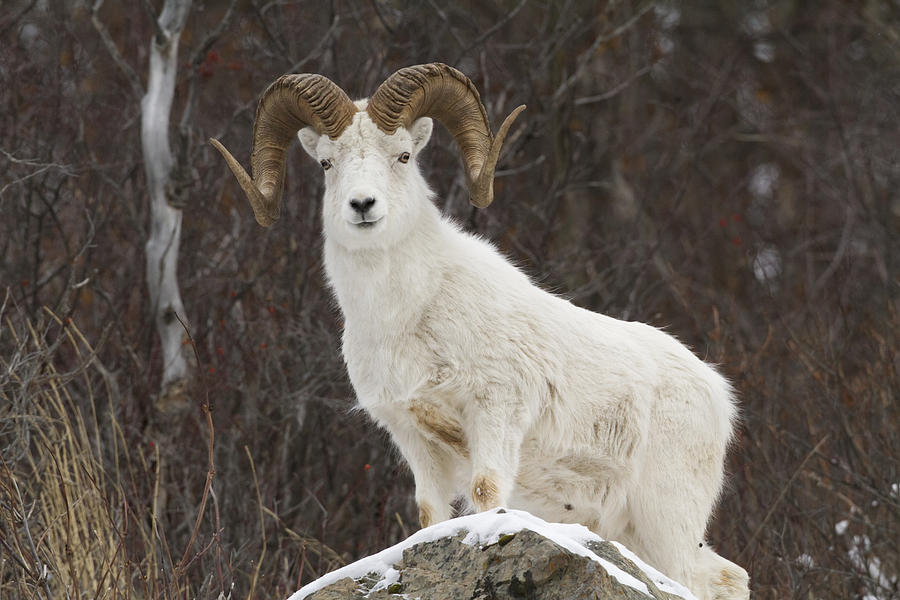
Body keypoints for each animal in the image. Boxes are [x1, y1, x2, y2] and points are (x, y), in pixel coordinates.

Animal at [211, 62, 752, 600]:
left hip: (667, 517)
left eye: (403, 155)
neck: (408, 315)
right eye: (327, 163)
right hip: (634, 527)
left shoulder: (494, 416)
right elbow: (430, 514)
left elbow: (486, 494)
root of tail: (717, 393)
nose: (363, 205)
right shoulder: (414, 437)